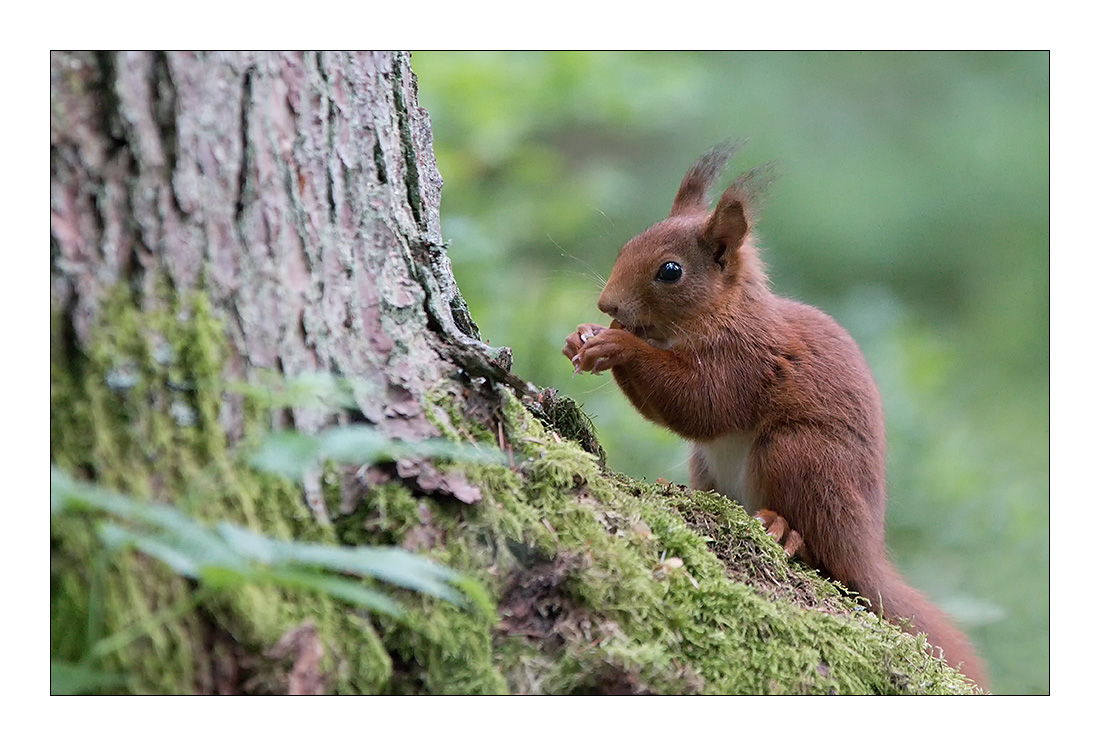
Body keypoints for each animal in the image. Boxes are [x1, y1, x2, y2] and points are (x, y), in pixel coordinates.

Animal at [567, 143, 990, 690]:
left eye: (670, 271)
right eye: (627, 243)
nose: (607, 305)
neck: (721, 313)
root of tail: (866, 550)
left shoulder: (747, 360)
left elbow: (700, 403)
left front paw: (618, 345)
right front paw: (581, 337)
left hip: (800, 455)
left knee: (821, 551)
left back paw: (784, 530)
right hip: (709, 464)